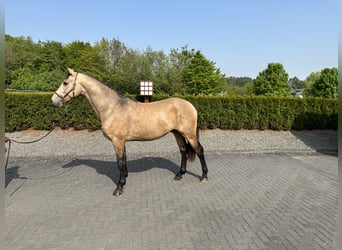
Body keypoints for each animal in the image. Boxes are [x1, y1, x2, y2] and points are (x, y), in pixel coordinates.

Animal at [52, 68, 208, 195]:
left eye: (65, 82)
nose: (53, 101)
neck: (112, 107)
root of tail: (190, 105)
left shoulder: (117, 141)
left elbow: (120, 162)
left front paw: (119, 188)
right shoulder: (122, 141)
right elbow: (124, 160)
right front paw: (124, 179)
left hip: (189, 134)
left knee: (199, 150)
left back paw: (204, 177)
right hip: (177, 133)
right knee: (183, 151)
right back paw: (179, 175)